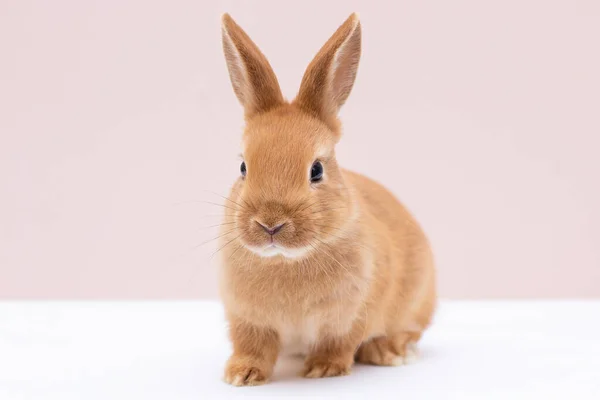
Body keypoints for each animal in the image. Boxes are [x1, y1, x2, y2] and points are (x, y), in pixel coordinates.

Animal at [218, 13, 434, 388]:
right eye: (243, 166)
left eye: (316, 170)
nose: (270, 223)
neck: (286, 261)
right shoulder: (247, 319)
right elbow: (252, 347)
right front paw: (241, 375)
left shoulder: (350, 317)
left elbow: (339, 343)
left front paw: (323, 369)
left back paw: (390, 352)